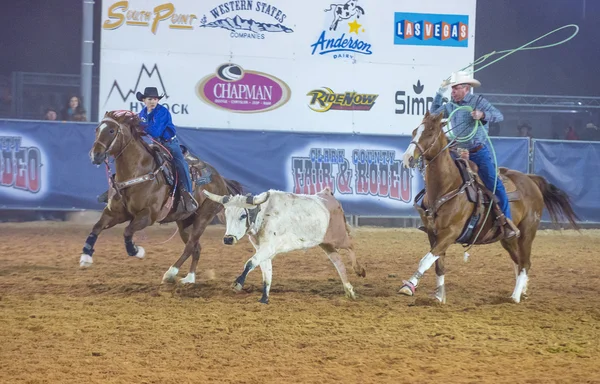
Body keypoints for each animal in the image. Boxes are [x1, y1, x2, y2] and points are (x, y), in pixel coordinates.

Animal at [79, 109, 244, 284]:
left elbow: (127, 231)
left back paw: (171, 273)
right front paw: (85, 257)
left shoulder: (147, 215)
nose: (95, 155)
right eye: (97, 129)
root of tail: (221, 179)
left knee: (190, 246)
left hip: (204, 217)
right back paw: (189, 278)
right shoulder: (115, 213)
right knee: (196, 247)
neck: (138, 172)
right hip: (185, 221)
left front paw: (137, 251)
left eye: (111, 131)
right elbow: (96, 227)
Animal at [398, 111, 576, 304]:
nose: (408, 158)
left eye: (430, 132)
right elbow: (437, 263)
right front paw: (439, 296)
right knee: (518, 260)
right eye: (414, 131)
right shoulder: (433, 233)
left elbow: (425, 260)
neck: (448, 185)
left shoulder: (451, 232)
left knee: (525, 263)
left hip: (527, 232)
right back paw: (522, 290)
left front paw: (408, 286)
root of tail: (530, 179)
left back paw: (515, 296)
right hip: (507, 238)